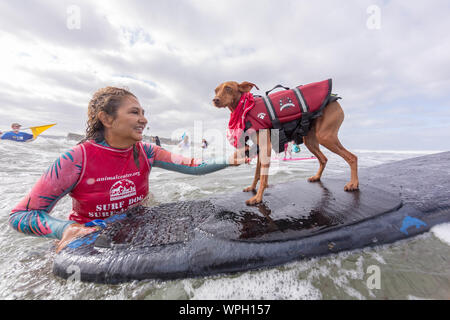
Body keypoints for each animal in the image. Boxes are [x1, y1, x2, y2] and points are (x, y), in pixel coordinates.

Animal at [214, 80, 358, 205]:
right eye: (216, 90)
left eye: (228, 88)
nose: (215, 100)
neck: (245, 108)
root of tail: (334, 98)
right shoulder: (260, 149)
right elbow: (258, 174)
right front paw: (252, 187)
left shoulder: (265, 148)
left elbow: (263, 176)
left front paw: (258, 198)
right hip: (310, 140)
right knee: (323, 159)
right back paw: (316, 177)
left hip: (325, 136)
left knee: (352, 157)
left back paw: (354, 184)